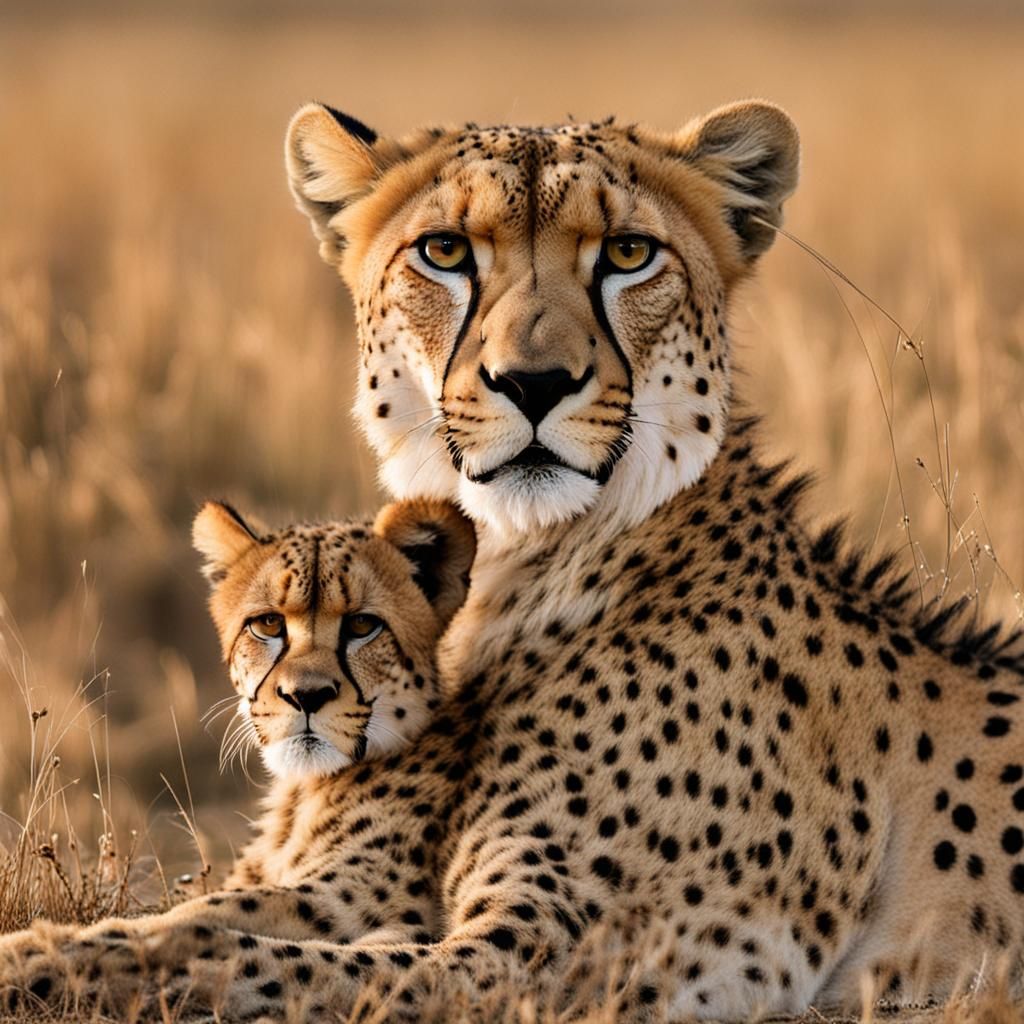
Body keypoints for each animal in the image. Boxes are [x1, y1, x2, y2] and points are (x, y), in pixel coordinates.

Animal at [2, 99, 1022, 1023]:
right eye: (446, 252)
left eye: (628, 254)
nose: (533, 383)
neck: (530, 565)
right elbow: (196, 921)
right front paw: (45, 944)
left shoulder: (547, 961)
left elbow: (256, 960)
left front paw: (47, 967)